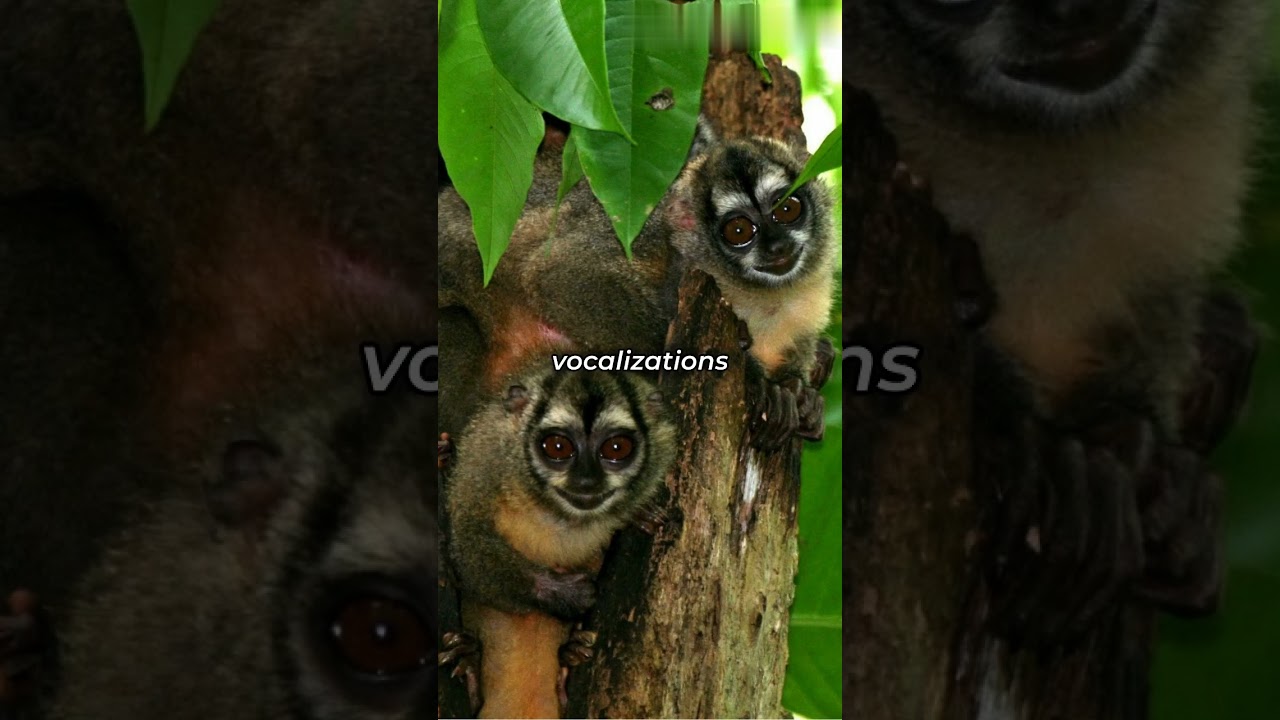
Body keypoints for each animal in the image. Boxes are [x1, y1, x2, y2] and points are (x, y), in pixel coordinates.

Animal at [441, 363, 676, 718]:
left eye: (616, 449)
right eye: (557, 447)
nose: (586, 481)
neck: (557, 511)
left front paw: (642, 513)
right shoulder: (484, 455)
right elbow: (467, 542)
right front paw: (570, 594)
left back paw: (568, 665)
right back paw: (468, 665)